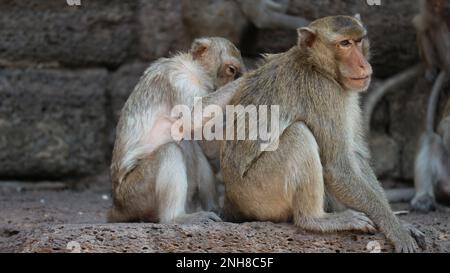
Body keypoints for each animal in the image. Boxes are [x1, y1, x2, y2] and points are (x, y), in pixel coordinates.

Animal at [107, 36, 244, 223]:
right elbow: (192, 118)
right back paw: (175, 218)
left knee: (194, 147)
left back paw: (213, 208)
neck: (197, 72)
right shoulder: (181, 79)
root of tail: (116, 207)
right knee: (170, 150)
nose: (234, 79)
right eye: (231, 70)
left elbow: (206, 143)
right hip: (134, 195)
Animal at [194, 15, 426, 252]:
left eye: (359, 41)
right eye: (344, 44)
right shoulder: (325, 91)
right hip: (257, 194)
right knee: (299, 134)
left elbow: (354, 157)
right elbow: (337, 167)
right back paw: (316, 219)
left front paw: (401, 224)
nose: (363, 64)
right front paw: (397, 230)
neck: (317, 65)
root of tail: (230, 198)